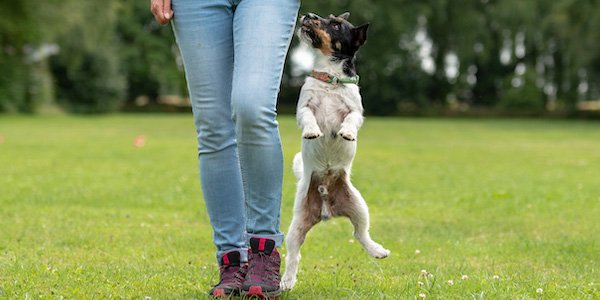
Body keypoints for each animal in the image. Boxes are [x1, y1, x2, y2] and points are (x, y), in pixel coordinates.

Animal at [282, 12, 392, 290]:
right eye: (327, 18)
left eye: (335, 24)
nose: (309, 14)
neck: (330, 79)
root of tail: (325, 211)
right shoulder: (304, 108)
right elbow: (308, 117)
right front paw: (312, 132)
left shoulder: (355, 111)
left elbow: (351, 119)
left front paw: (347, 133)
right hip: (296, 226)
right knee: (294, 255)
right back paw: (287, 281)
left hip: (359, 207)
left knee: (360, 233)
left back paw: (377, 250)